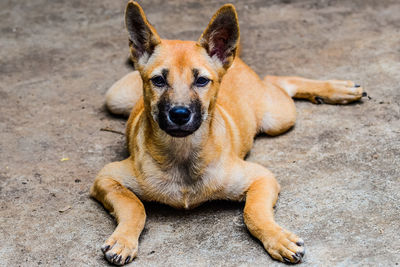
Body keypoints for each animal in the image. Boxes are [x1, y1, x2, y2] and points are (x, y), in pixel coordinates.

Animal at [90, 1, 366, 266]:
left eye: (201, 80)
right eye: (158, 80)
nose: (179, 114)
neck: (183, 155)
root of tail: (232, 61)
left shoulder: (262, 178)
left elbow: (252, 213)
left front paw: (278, 238)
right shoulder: (106, 178)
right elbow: (134, 206)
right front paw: (123, 240)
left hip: (279, 118)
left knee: (277, 80)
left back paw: (336, 90)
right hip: (115, 97)